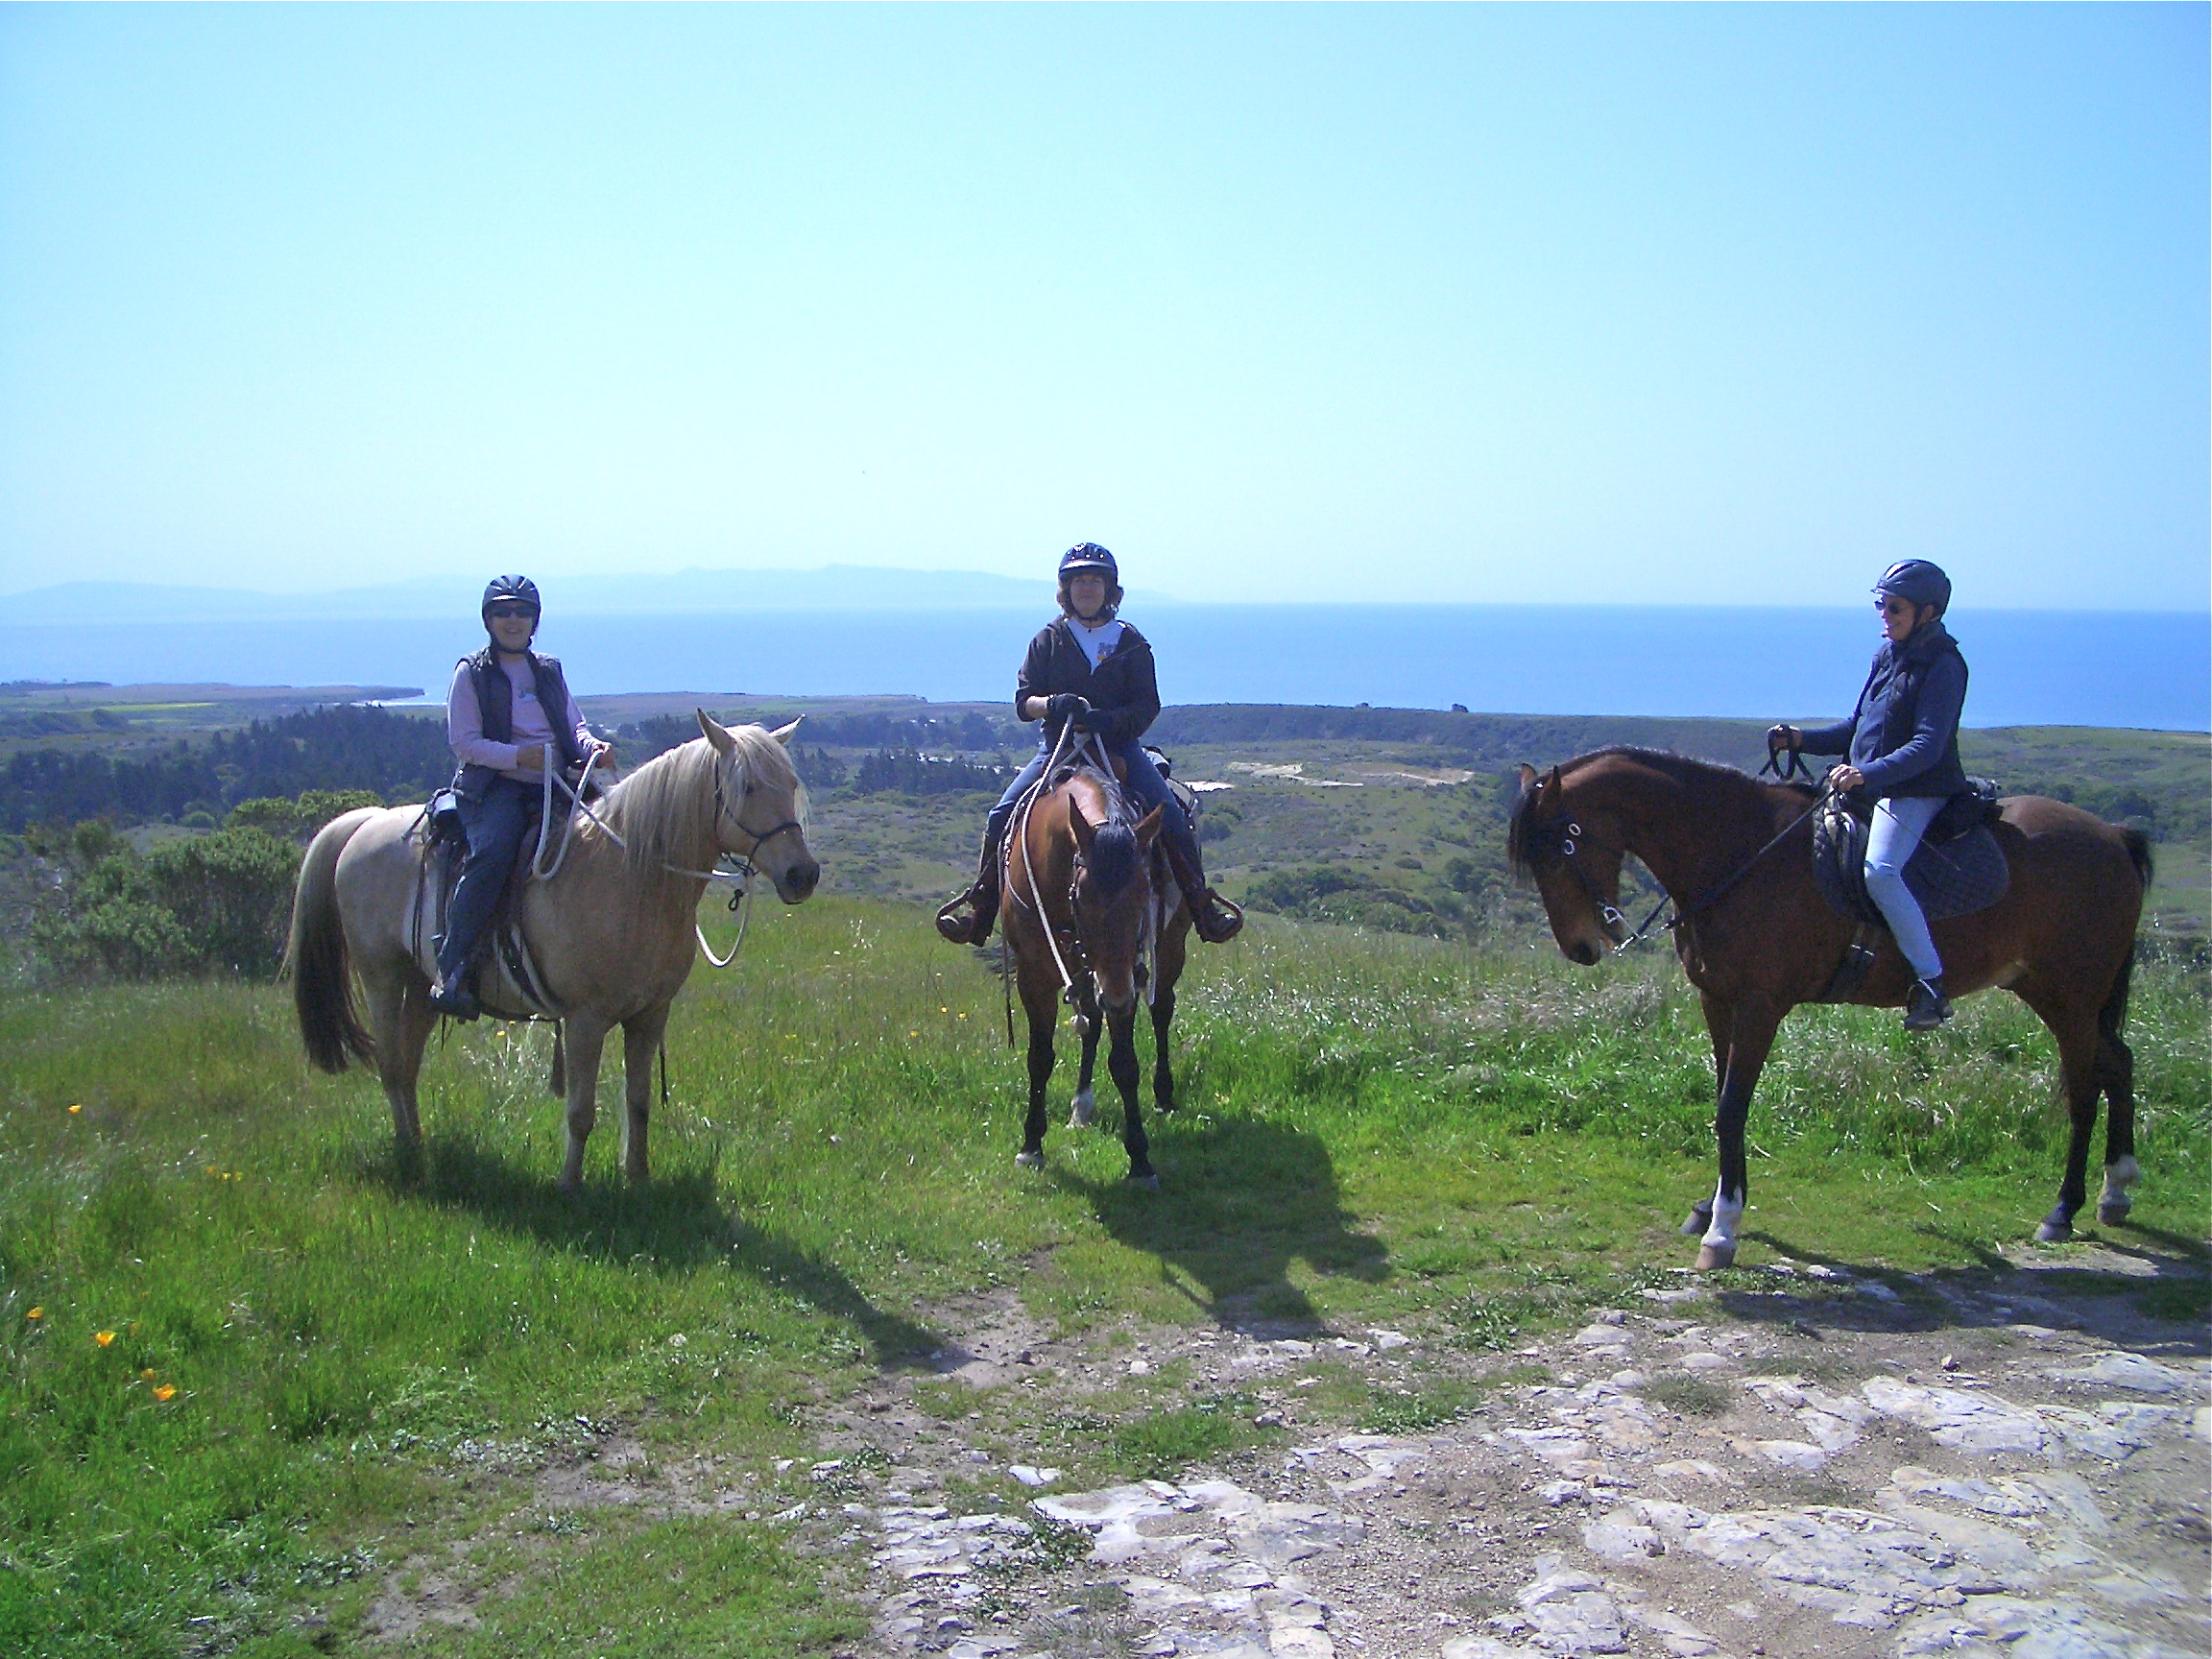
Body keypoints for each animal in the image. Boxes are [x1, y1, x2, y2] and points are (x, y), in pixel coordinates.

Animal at [285, 721, 823, 1185]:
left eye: (790, 783)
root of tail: (366, 823)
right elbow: (581, 1111)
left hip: (420, 985)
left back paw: (417, 1145)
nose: (803, 874)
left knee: (408, 1065)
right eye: (747, 788)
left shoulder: (650, 1015)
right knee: (392, 1065)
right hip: (381, 975)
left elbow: (639, 1101)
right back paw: (407, 1155)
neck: (631, 879)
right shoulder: (585, 1019)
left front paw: (638, 1178)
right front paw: (569, 1187)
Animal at [1013, 756, 1194, 1194]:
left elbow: (1125, 1063)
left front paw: (1140, 1158)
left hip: (1169, 948)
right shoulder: (1032, 976)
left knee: (1161, 1010)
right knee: (1091, 1023)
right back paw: (1082, 1105)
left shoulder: (1126, 972)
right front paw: (1031, 1144)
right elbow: (1039, 1058)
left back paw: (1164, 1095)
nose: (1117, 995)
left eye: (1146, 889)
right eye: (1081, 895)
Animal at [1512, 752, 2150, 1274]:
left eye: (1563, 847)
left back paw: (2063, 1209)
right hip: (2049, 991)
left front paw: (1723, 1228)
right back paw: (2116, 1189)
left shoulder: (1760, 1007)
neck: (1738, 853)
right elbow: (1725, 1102)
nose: (1582, 948)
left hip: (2071, 996)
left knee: (2085, 1087)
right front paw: (1714, 1202)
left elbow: (1731, 1107)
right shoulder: (1718, 1002)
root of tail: (2113, 835)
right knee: (2118, 1063)